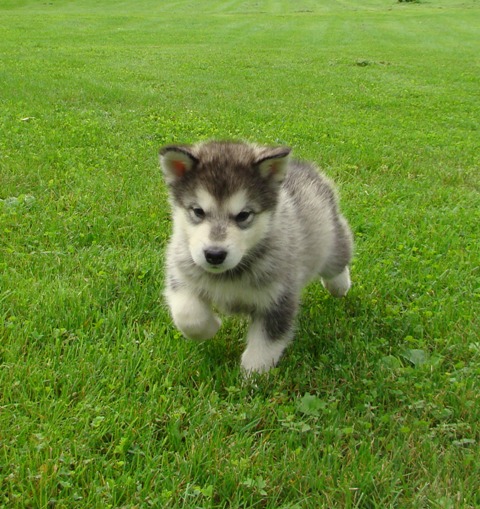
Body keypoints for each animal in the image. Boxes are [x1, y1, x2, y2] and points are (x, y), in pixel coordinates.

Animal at [159, 141, 353, 374]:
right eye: (198, 211)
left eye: (243, 215)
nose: (214, 255)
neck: (229, 275)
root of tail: (303, 166)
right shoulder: (181, 276)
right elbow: (187, 316)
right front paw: (212, 326)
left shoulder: (278, 299)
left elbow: (265, 344)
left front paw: (253, 375)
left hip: (331, 240)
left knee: (338, 261)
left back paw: (339, 286)